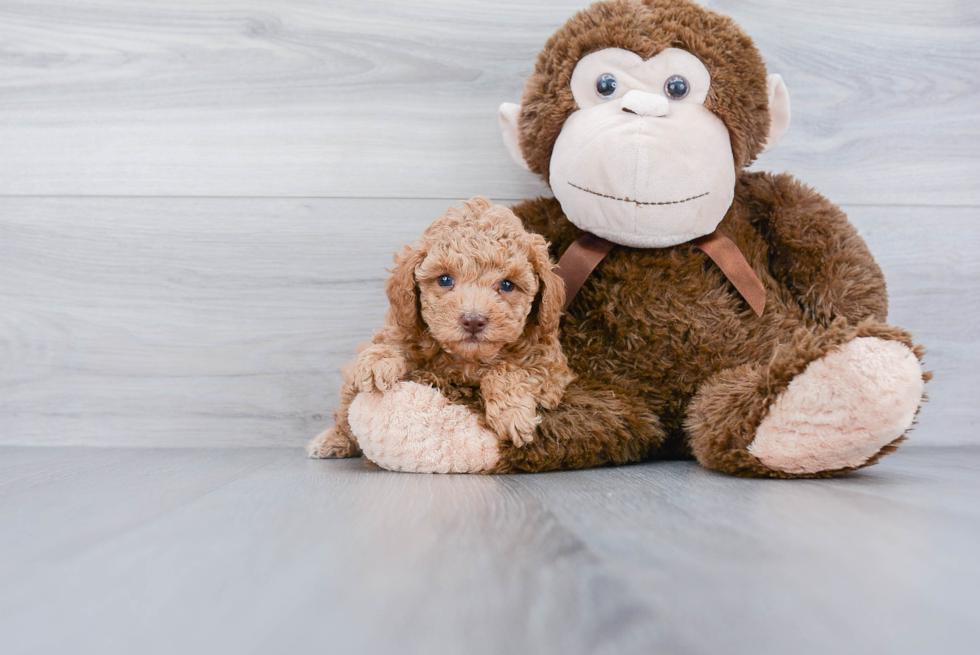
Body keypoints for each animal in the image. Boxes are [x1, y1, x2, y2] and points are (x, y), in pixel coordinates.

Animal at [308, 197, 576, 458]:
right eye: (445, 280)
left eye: (508, 285)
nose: (473, 320)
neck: (468, 360)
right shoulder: (404, 329)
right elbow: (390, 346)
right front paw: (378, 362)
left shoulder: (550, 369)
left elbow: (508, 369)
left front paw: (512, 414)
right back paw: (334, 440)